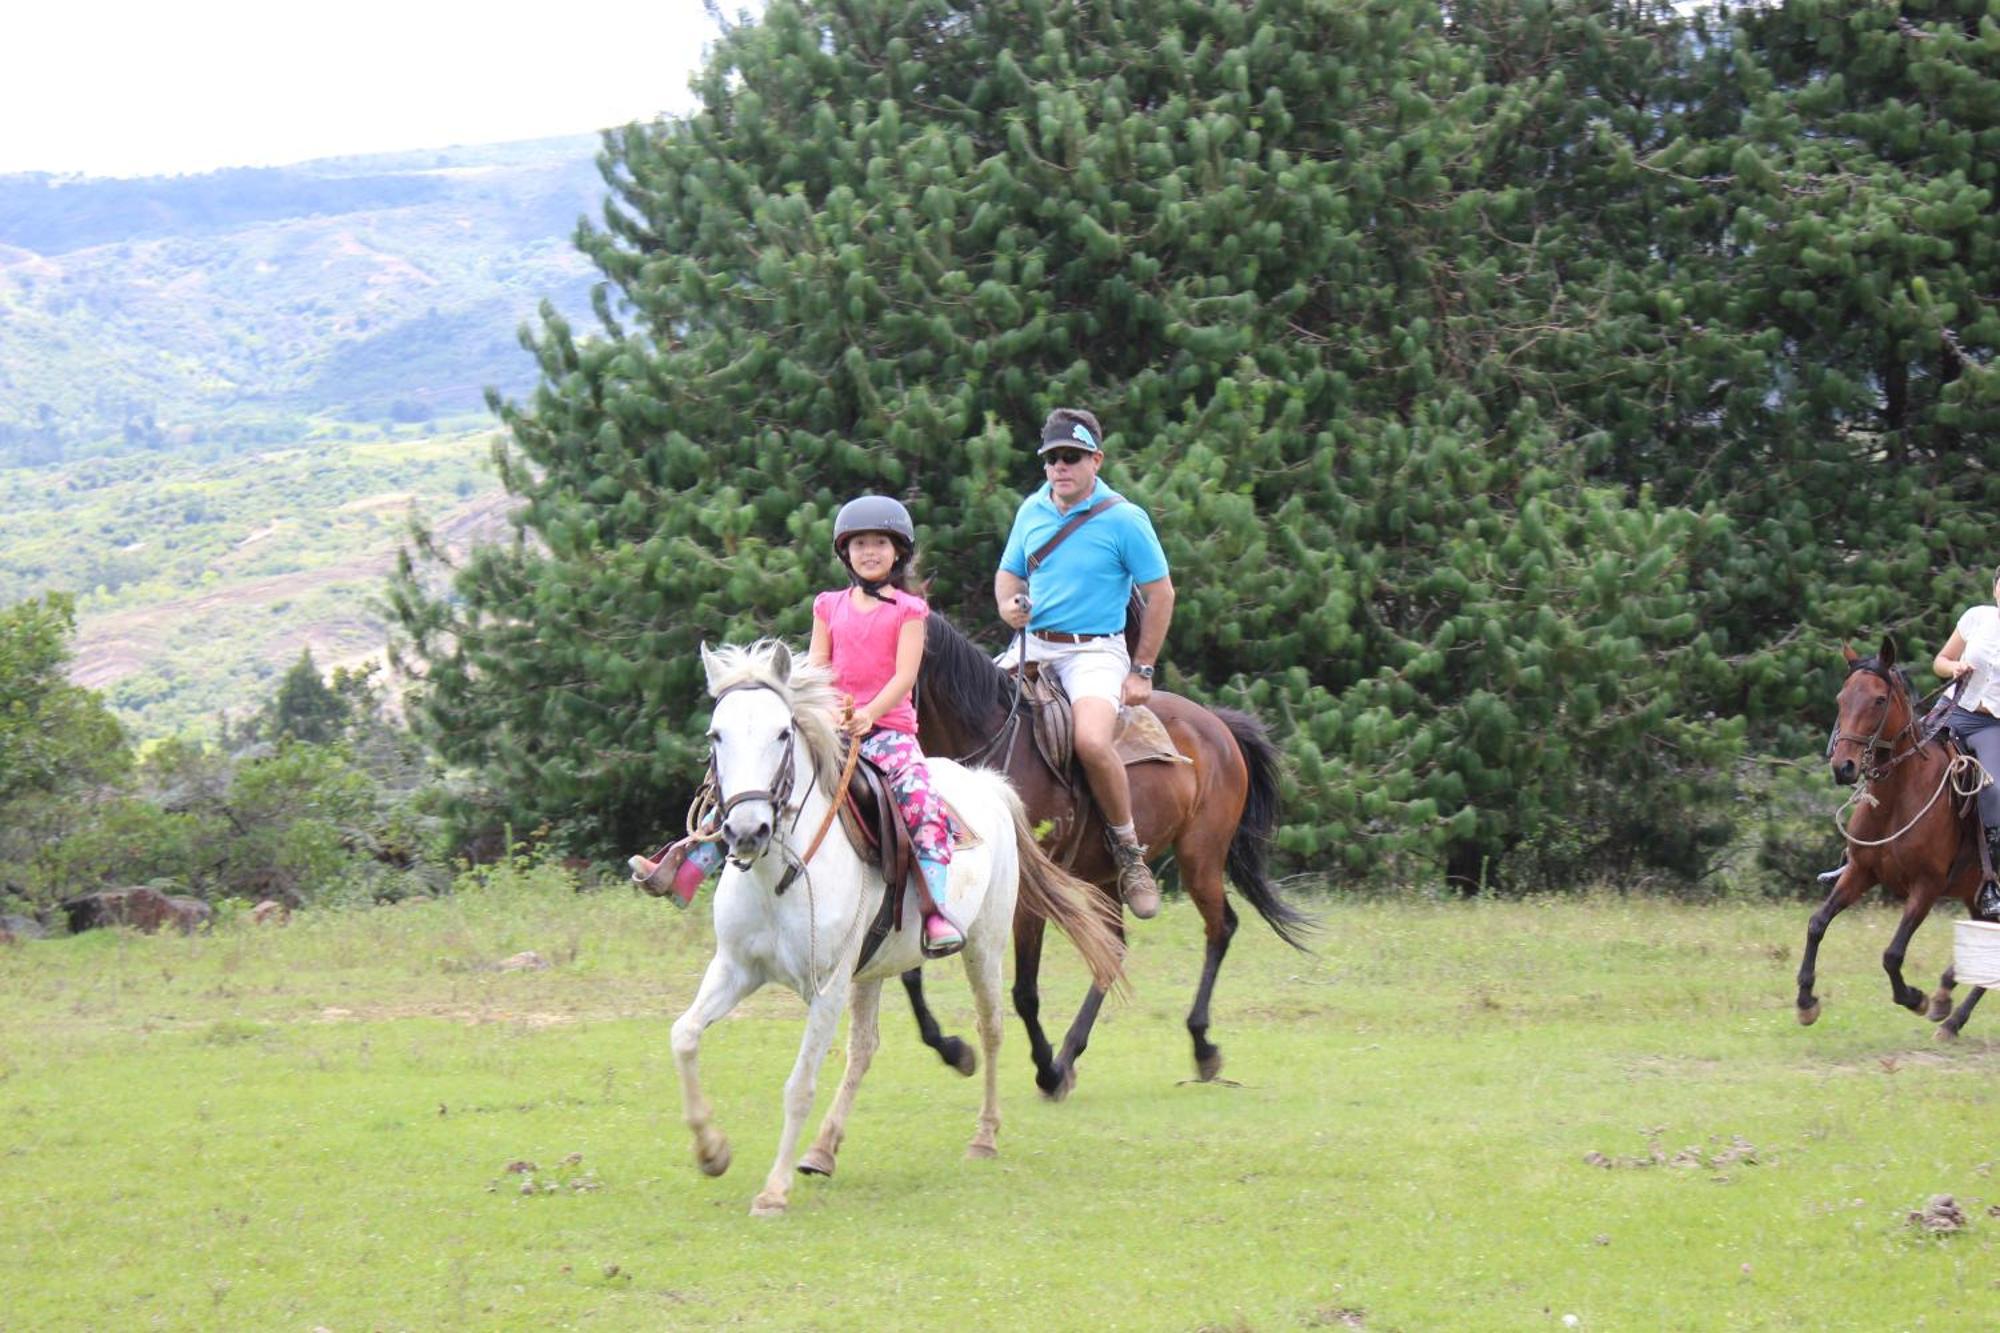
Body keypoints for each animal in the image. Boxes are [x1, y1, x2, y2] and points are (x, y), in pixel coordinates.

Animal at [672, 640, 1128, 1208]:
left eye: (782, 733)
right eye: (717, 734)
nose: (747, 830)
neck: (782, 875)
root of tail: (987, 785)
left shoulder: (826, 987)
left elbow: (799, 1085)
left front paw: (773, 1192)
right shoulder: (735, 968)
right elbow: (684, 1035)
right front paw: (711, 1152)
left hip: (985, 947)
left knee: (992, 1028)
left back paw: (985, 1135)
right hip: (871, 969)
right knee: (865, 1050)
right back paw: (822, 1150)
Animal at [904, 608, 1312, 1096]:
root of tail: (1216, 724)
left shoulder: (1028, 893)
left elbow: (1025, 991)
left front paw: (1045, 1070)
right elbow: (910, 969)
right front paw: (952, 1048)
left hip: (1200, 858)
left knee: (1221, 928)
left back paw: (1200, 1046)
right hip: (1104, 878)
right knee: (1112, 949)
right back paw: (1070, 1053)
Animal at [1816, 640, 1984, 1032]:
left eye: (1879, 700)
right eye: (1841, 697)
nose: (1843, 767)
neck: (1897, 799)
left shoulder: (1926, 885)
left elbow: (1892, 954)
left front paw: (1914, 998)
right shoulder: (1860, 871)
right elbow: (1818, 923)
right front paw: (1805, 1001)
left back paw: (1948, 1011)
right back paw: (1948, 1007)